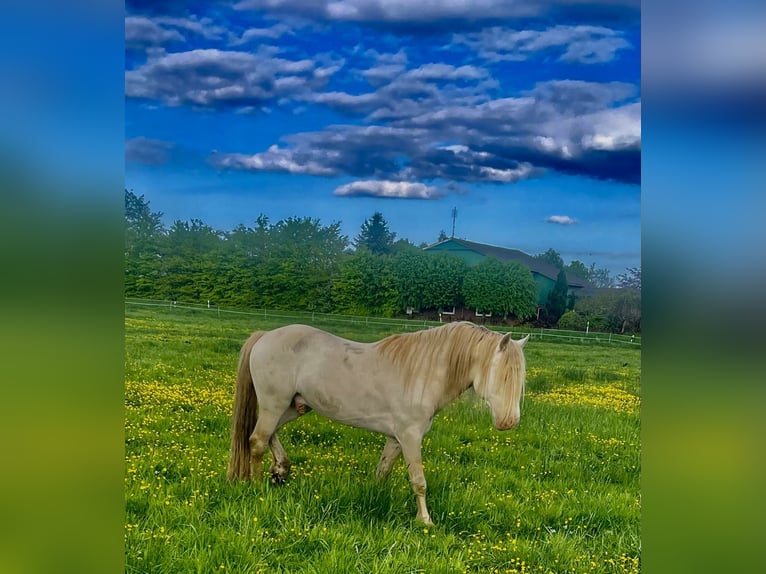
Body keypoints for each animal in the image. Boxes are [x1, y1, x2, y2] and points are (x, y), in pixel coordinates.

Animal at [226, 320, 528, 528]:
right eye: (502, 376)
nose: (508, 422)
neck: (423, 371)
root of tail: (265, 336)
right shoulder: (410, 437)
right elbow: (419, 481)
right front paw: (425, 521)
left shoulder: (396, 439)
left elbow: (382, 472)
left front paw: (376, 498)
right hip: (274, 404)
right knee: (257, 441)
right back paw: (256, 487)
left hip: (292, 406)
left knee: (269, 434)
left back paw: (280, 470)